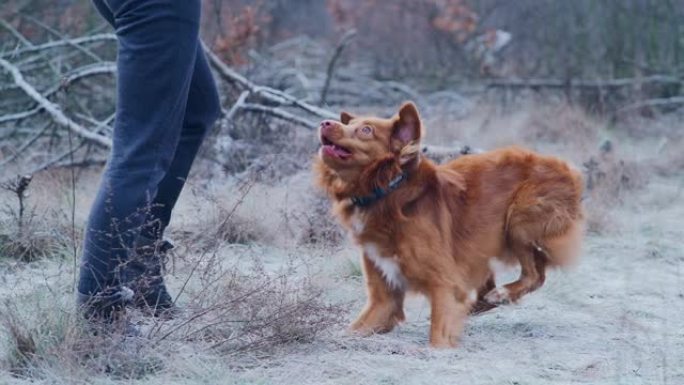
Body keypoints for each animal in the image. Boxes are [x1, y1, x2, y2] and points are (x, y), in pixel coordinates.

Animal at [312, 100, 584, 346]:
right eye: (351, 124)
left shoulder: (444, 282)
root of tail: (569, 169)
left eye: (366, 130)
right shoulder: (384, 297)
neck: (387, 191)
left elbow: (438, 335)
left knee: (534, 275)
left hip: (519, 222)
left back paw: (502, 294)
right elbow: (356, 327)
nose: (324, 123)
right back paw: (483, 302)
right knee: (516, 281)